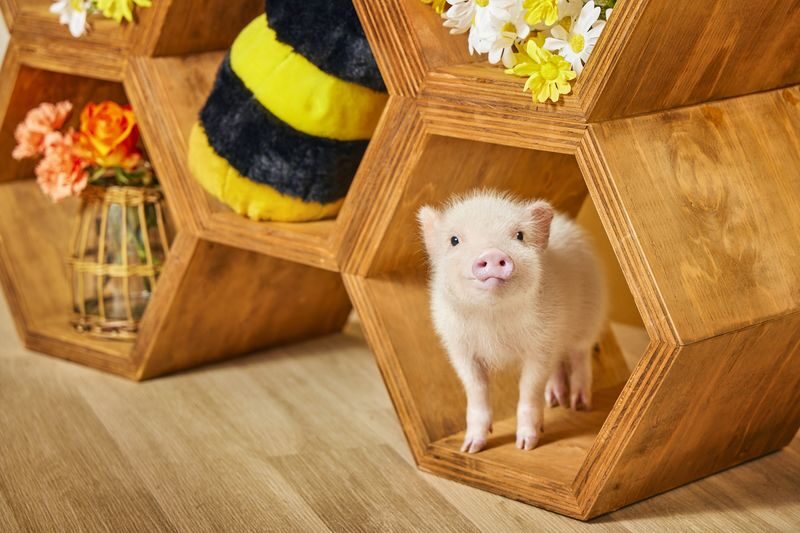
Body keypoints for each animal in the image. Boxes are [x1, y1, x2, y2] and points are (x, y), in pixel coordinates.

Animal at [418, 190, 606, 454]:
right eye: (454, 240)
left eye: (519, 235)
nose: (492, 253)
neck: (491, 317)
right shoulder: (460, 348)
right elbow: (476, 389)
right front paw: (470, 448)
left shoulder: (540, 346)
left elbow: (529, 389)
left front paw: (526, 446)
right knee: (558, 364)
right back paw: (555, 400)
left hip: (589, 316)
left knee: (580, 355)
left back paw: (578, 405)